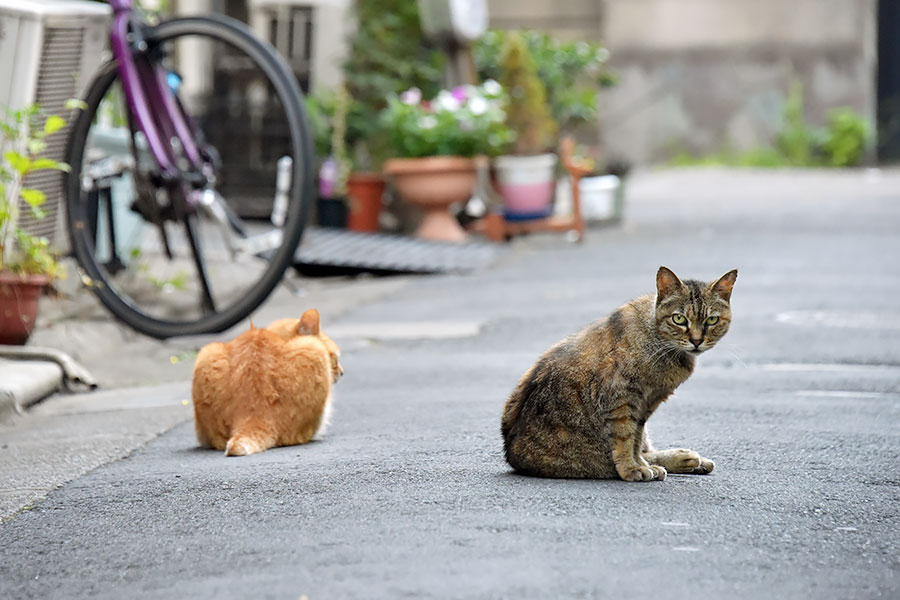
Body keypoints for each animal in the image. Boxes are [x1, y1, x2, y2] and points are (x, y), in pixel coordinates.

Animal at [500, 268, 740, 482]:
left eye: (711, 320)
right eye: (679, 319)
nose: (697, 340)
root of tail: (511, 454)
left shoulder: (645, 404)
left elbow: (635, 439)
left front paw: (641, 464)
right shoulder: (621, 399)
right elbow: (625, 438)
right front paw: (632, 468)